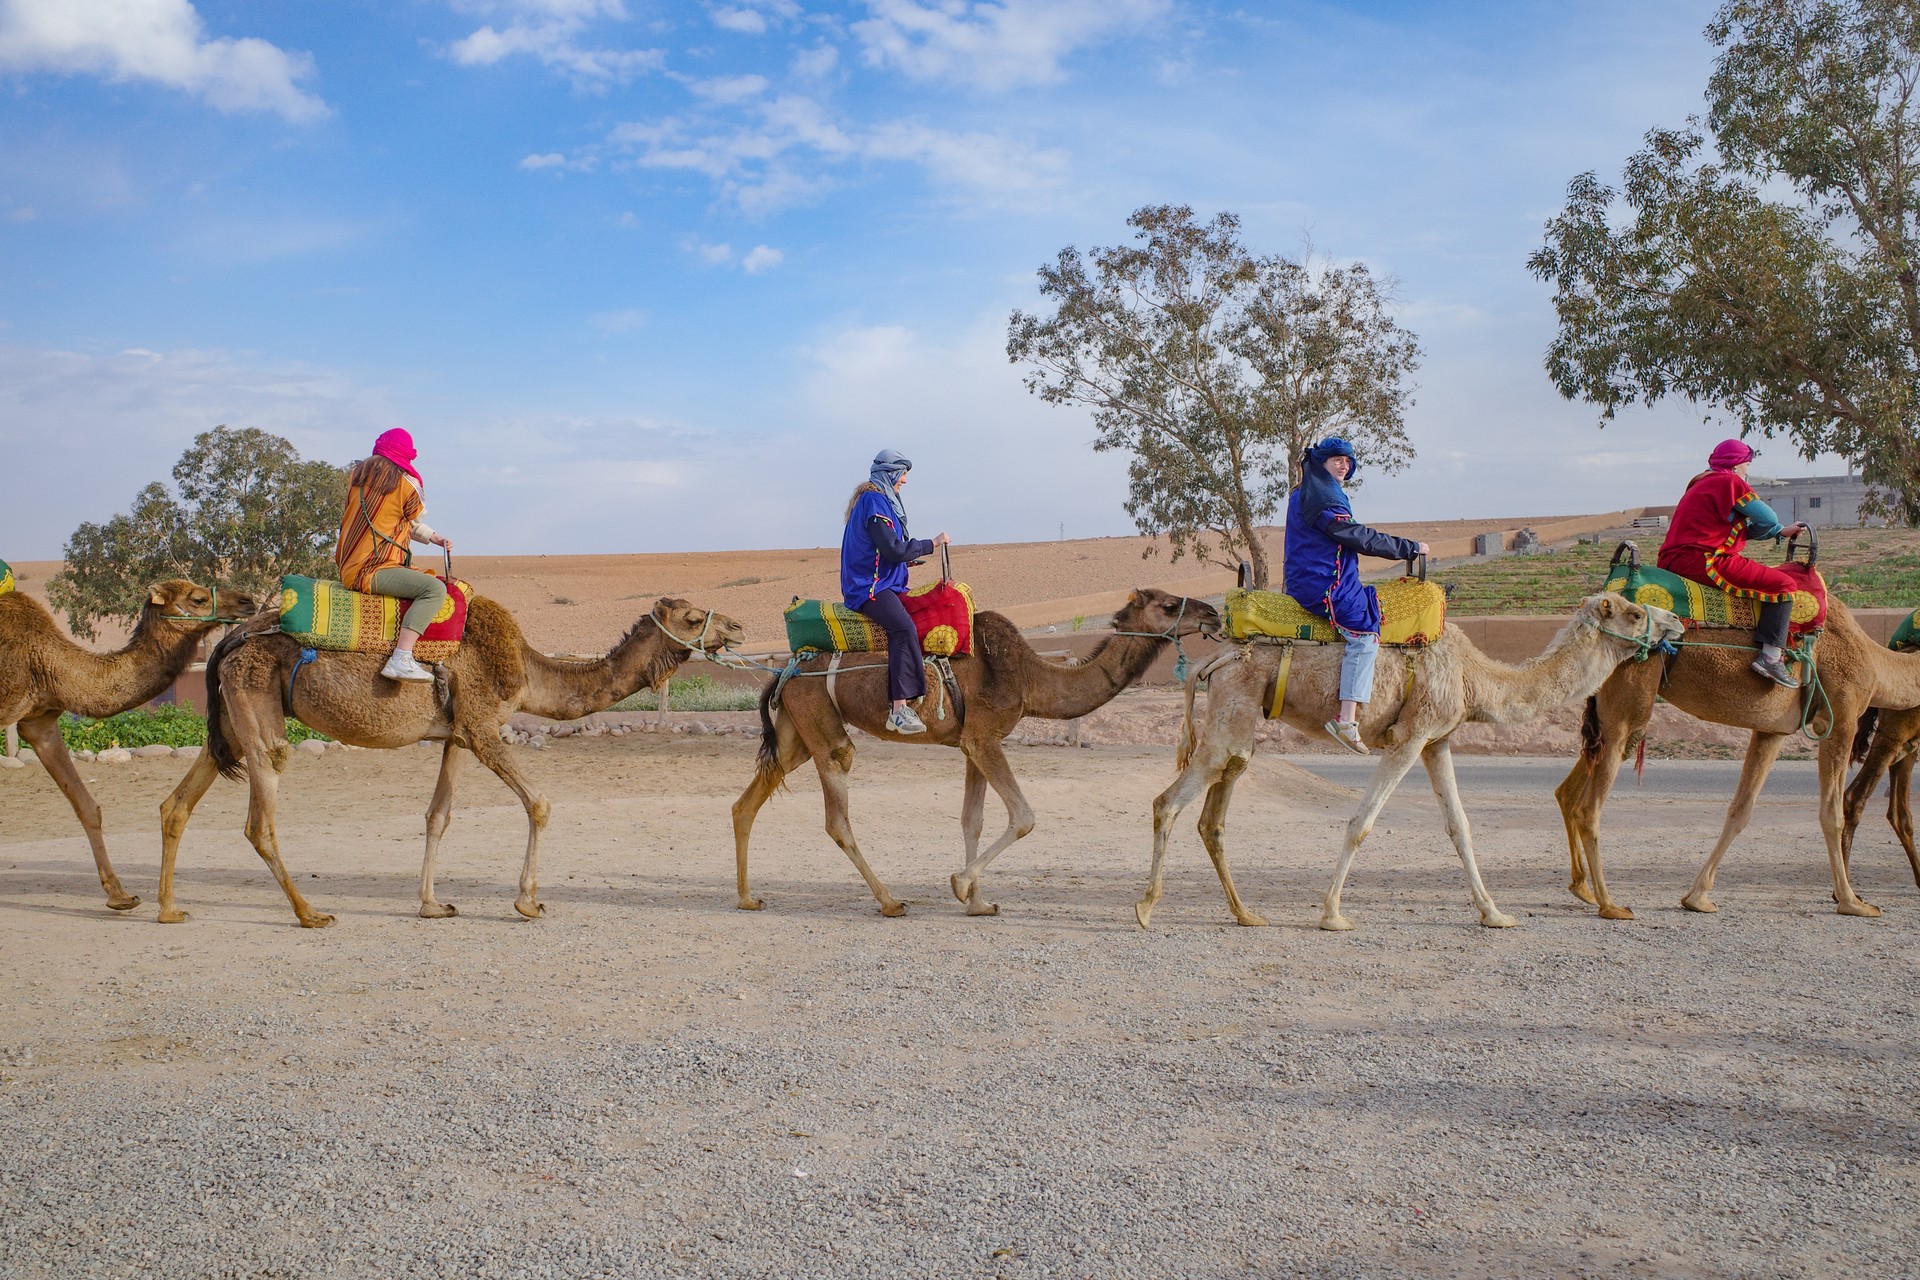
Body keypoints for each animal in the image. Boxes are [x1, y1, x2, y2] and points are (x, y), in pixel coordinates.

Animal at [0, 575, 255, 917]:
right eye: (198, 599)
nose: (247, 601)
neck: (43, 659)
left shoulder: (40, 722)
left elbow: (87, 806)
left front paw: (120, 896)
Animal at [733, 591, 1213, 921]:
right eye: (1170, 605)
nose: (1211, 613)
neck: (1030, 679)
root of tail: (786, 669)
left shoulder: (972, 743)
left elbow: (973, 820)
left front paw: (978, 903)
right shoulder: (984, 738)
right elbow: (1023, 816)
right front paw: (961, 886)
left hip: (796, 733)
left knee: (746, 803)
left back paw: (748, 897)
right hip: (823, 731)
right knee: (837, 815)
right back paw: (890, 901)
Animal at [1136, 591, 1681, 932]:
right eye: (1634, 613)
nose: (1675, 621)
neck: (1472, 676)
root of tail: (1216, 657)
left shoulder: (1436, 742)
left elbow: (1460, 826)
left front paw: (1495, 913)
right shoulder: (1409, 736)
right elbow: (1361, 822)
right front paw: (1332, 914)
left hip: (1238, 723)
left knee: (1213, 814)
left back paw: (1246, 914)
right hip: (1233, 710)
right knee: (1168, 801)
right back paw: (1146, 907)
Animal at [1551, 602, 1920, 921]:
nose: (1912, 742)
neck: (1876, 665)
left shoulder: (1772, 731)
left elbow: (1741, 810)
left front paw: (1697, 897)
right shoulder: (1840, 719)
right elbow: (1833, 813)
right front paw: (1852, 901)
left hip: (1607, 714)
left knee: (1569, 791)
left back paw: (1583, 889)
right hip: (1629, 703)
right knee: (1589, 806)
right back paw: (1609, 904)